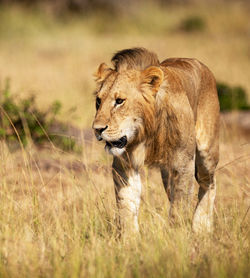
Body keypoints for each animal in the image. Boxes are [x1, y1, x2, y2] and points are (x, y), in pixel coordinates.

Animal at [92, 47, 219, 232]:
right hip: (167, 173)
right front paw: (130, 237)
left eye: (119, 101)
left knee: (209, 183)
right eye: (98, 101)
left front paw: (177, 234)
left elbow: (179, 207)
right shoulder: (124, 165)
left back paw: (202, 226)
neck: (145, 131)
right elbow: (126, 205)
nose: (97, 129)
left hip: (206, 152)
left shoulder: (183, 164)